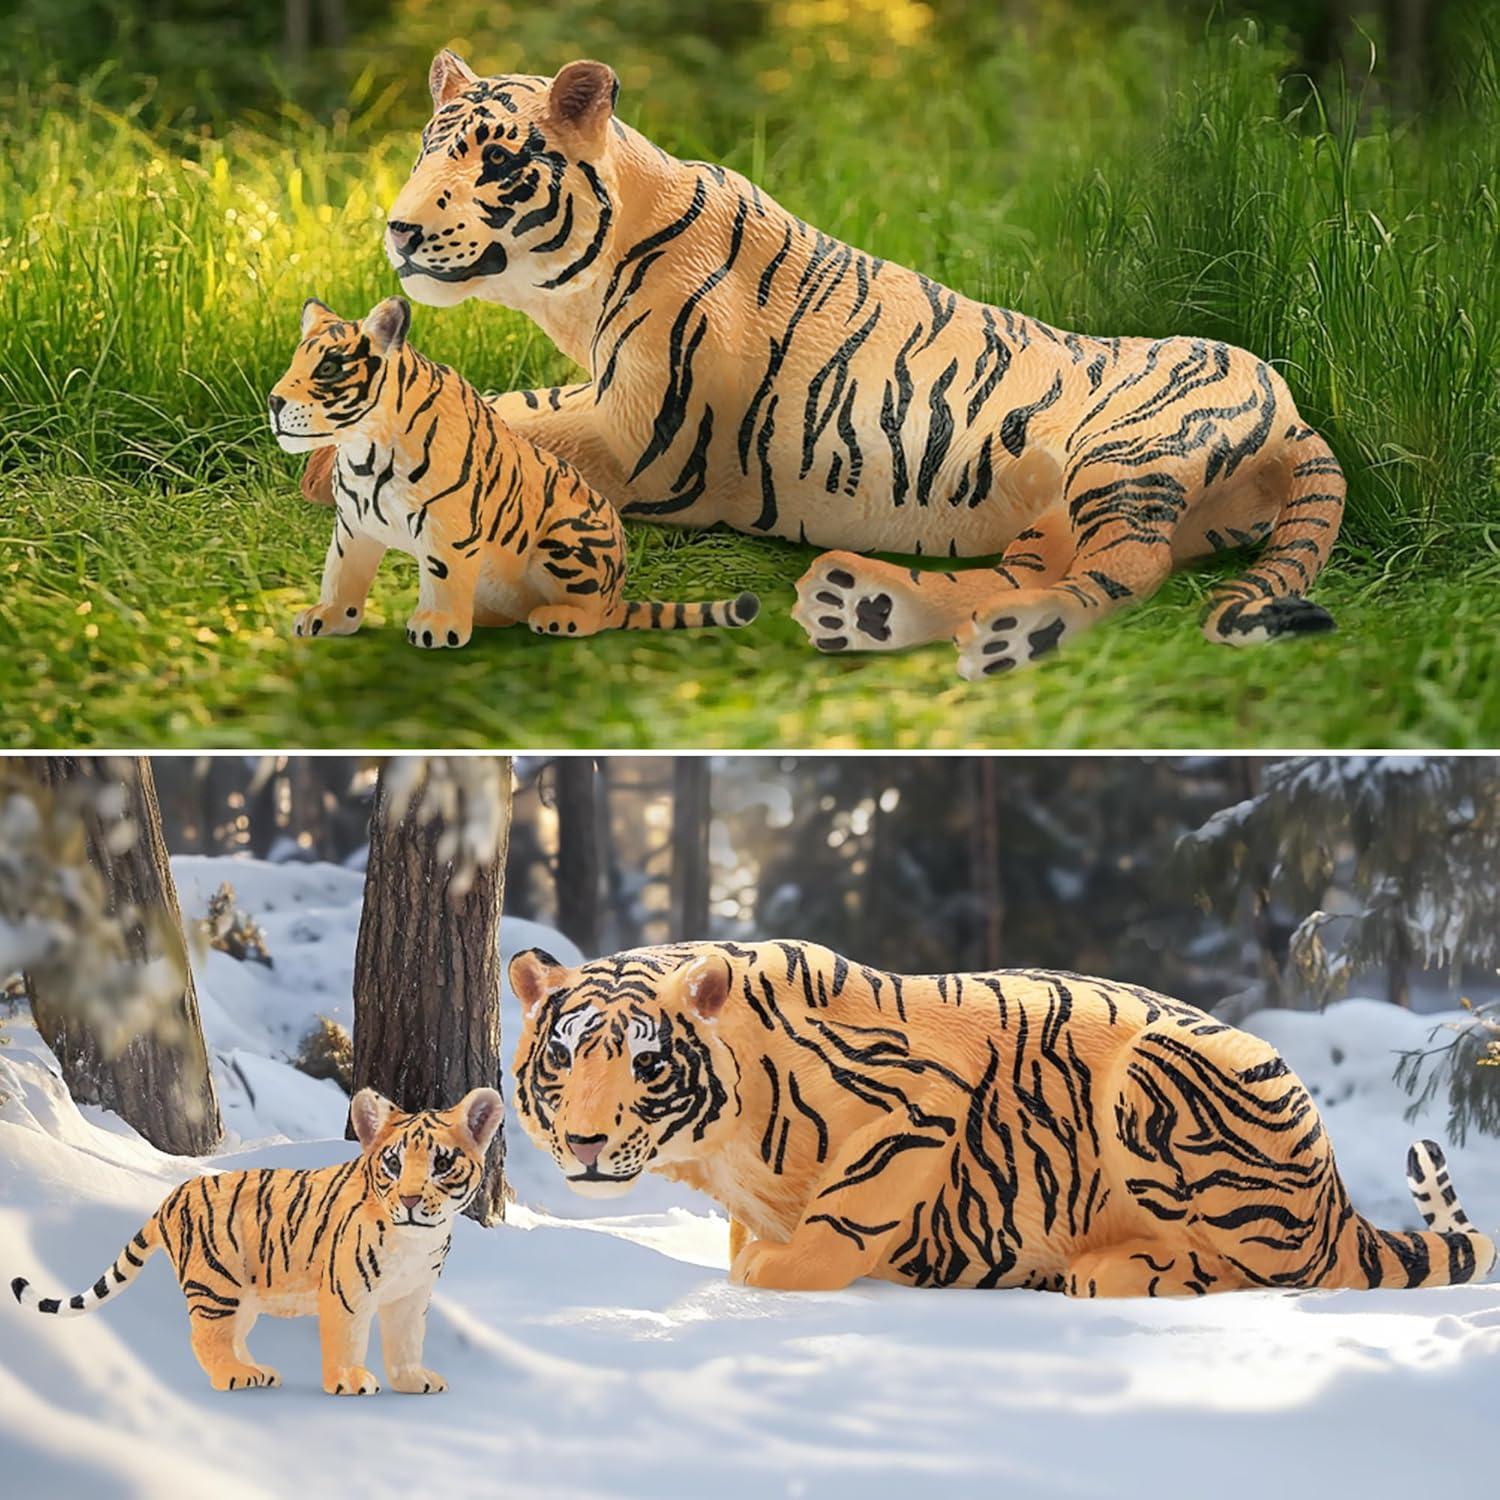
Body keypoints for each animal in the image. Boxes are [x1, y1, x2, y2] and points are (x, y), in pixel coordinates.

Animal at [9, 1087, 502, 1394]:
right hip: (215, 1285)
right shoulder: (347, 1290)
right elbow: (348, 1338)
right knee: (205, 1337)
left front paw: (412, 1380)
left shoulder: (411, 1296)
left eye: (442, 1164)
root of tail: (171, 1196)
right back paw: (234, 1376)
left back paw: (256, 1370)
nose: (411, 1199)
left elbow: (406, 1341)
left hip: (242, 1294)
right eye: (394, 1164)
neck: (418, 1240)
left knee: (231, 1336)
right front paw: (349, 1381)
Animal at [271, 295, 758, 648]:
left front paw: (436, 626)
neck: (363, 450)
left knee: (595, 617)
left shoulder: (447, 528)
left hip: (566, 537)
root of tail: (617, 595)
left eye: (328, 367)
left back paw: (558, 618)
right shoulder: (354, 527)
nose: (274, 401)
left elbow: (441, 576)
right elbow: (340, 574)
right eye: (295, 363)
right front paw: (329, 616)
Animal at [507, 942, 1494, 1297]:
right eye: (562, 1058)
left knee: (1276, 1272)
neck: (716, 1156)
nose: (585, 1142)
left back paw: (1115, 1272)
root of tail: (1333, 1202)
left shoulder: (918, 1106)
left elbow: (842, 1216)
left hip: (1165, 1084)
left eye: (646, 1064)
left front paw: (779, 1271)